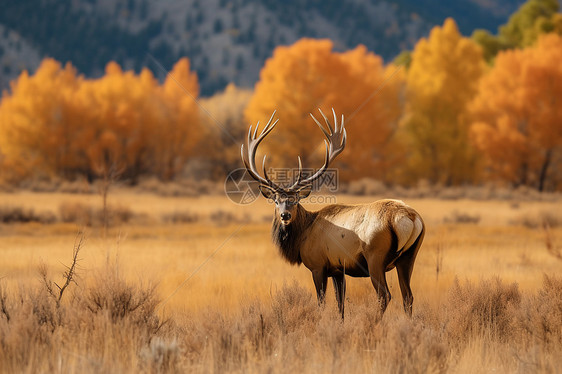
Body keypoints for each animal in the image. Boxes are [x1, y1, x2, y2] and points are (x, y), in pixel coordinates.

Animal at [238, 109, 422, 318]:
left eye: (295, 200)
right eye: (276, 201)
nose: (285, 216)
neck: (303, 234)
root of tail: (410, 218)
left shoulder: (318, 265)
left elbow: (322, 302)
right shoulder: (337, 269)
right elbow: (340, 304)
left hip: (375, 256)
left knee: (384, 295)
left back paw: (373, 322)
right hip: (409, 257)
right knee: (408, 296)